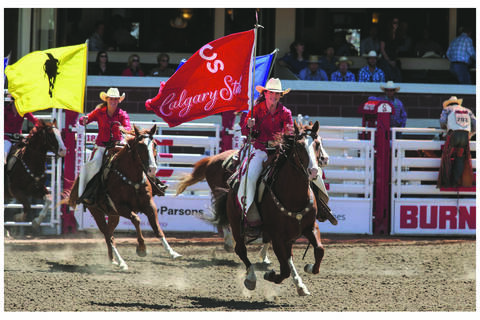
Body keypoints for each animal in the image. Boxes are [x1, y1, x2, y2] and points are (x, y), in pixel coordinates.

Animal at [64, 125, 181, 270]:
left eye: (154, 144)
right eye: (140, 146)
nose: (152, 169)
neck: (132, 179)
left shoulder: (149, 205)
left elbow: (157, 228)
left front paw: (172, 252)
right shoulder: (120, 207)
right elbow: (136, 220)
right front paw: (141, 248)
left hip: (113, 215)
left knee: (110, 234)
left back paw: (113, 260)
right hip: (97, 212)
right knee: (108, 235)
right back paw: (121, 262)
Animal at [212, 121, 324, 296]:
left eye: (317, 144)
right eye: (299, 146)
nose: (313, 171)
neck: (294, 196)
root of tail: (231, 187)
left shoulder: (310, 227)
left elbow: (319, 250)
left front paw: (309, 267)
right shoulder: (276, 236)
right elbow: (284, 270)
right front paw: (270, 275)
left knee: (289, 257)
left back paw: (300, 285)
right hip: (237, 225)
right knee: (241, 250)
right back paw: (251, 278)